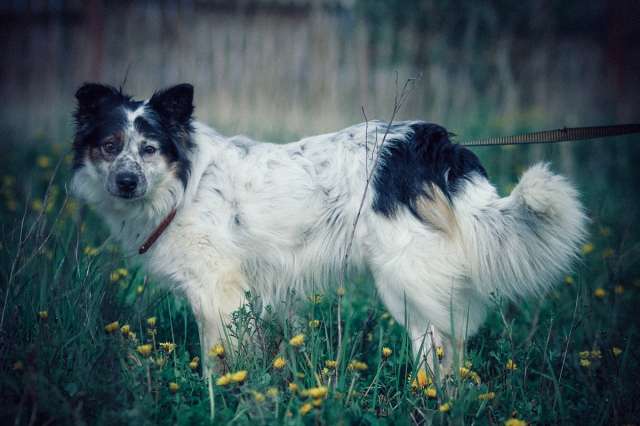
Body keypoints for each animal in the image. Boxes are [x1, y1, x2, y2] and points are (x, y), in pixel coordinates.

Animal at [70, 83, 584, 372]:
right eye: (110, 145)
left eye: (150, 148)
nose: (126, 181)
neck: (183, 185)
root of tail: (430, 144)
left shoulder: (218, 290)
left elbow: (220, 360)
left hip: (405, 279)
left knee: (438, 352)